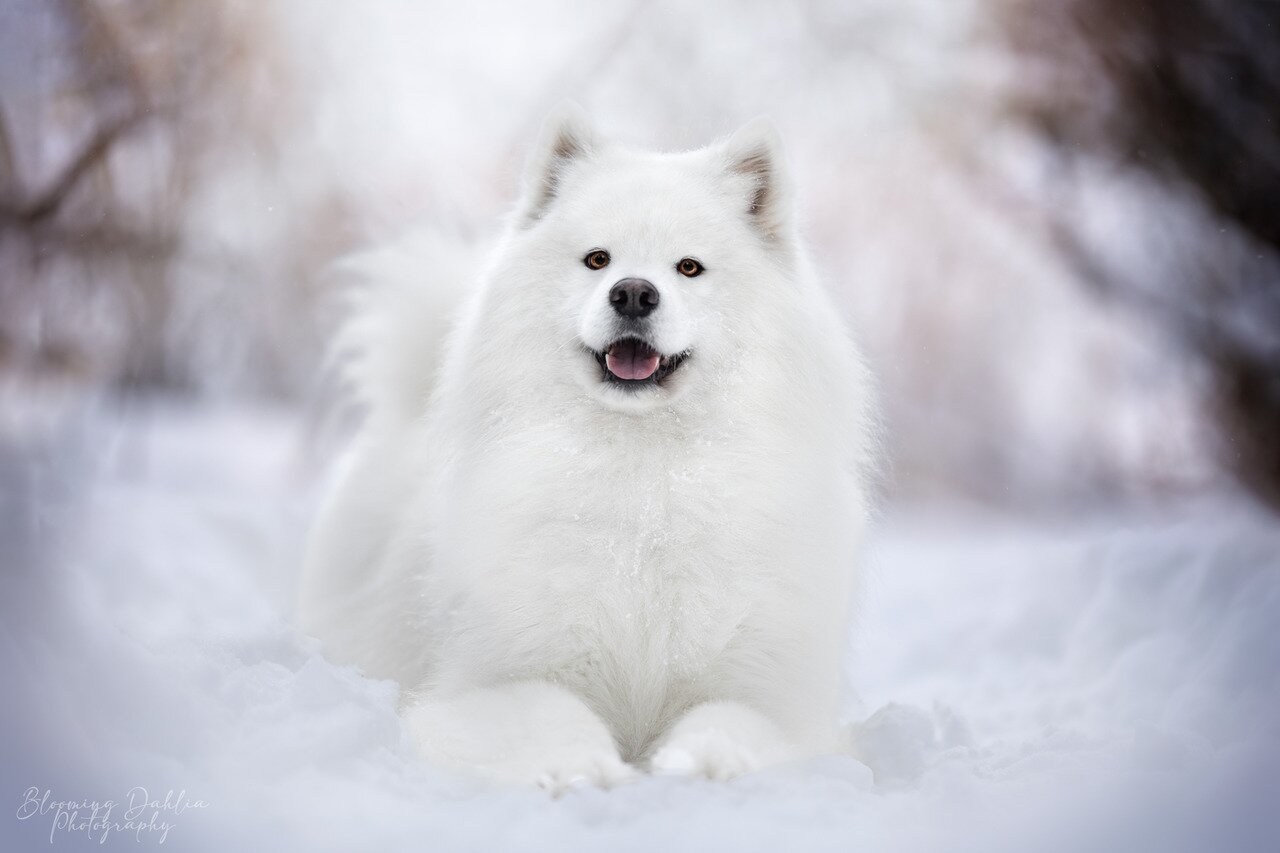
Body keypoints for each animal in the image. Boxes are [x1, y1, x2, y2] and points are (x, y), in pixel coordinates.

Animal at [299, 106, 880, 788]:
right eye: (597, 259)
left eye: (689, 267)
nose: (633, 292)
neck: (647, 479)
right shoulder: (488, 683)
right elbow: (552, 713)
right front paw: (583, 770)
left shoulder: (775, 700)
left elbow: (728, 719)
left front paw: (701, 763)